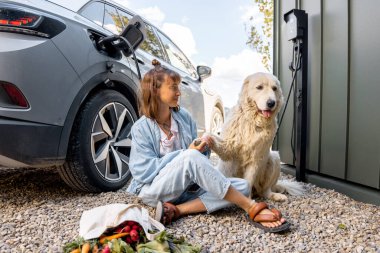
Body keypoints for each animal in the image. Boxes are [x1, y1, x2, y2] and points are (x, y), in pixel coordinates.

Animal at [211, 72, 302, 201]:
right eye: (259, 87)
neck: (254, 122)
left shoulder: (256, 159)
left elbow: (248, 181)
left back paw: (276, 196)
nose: (271, 103)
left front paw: (247, 200)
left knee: (265, 191)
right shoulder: (229, 150)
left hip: (274, 158)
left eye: (274, 88)